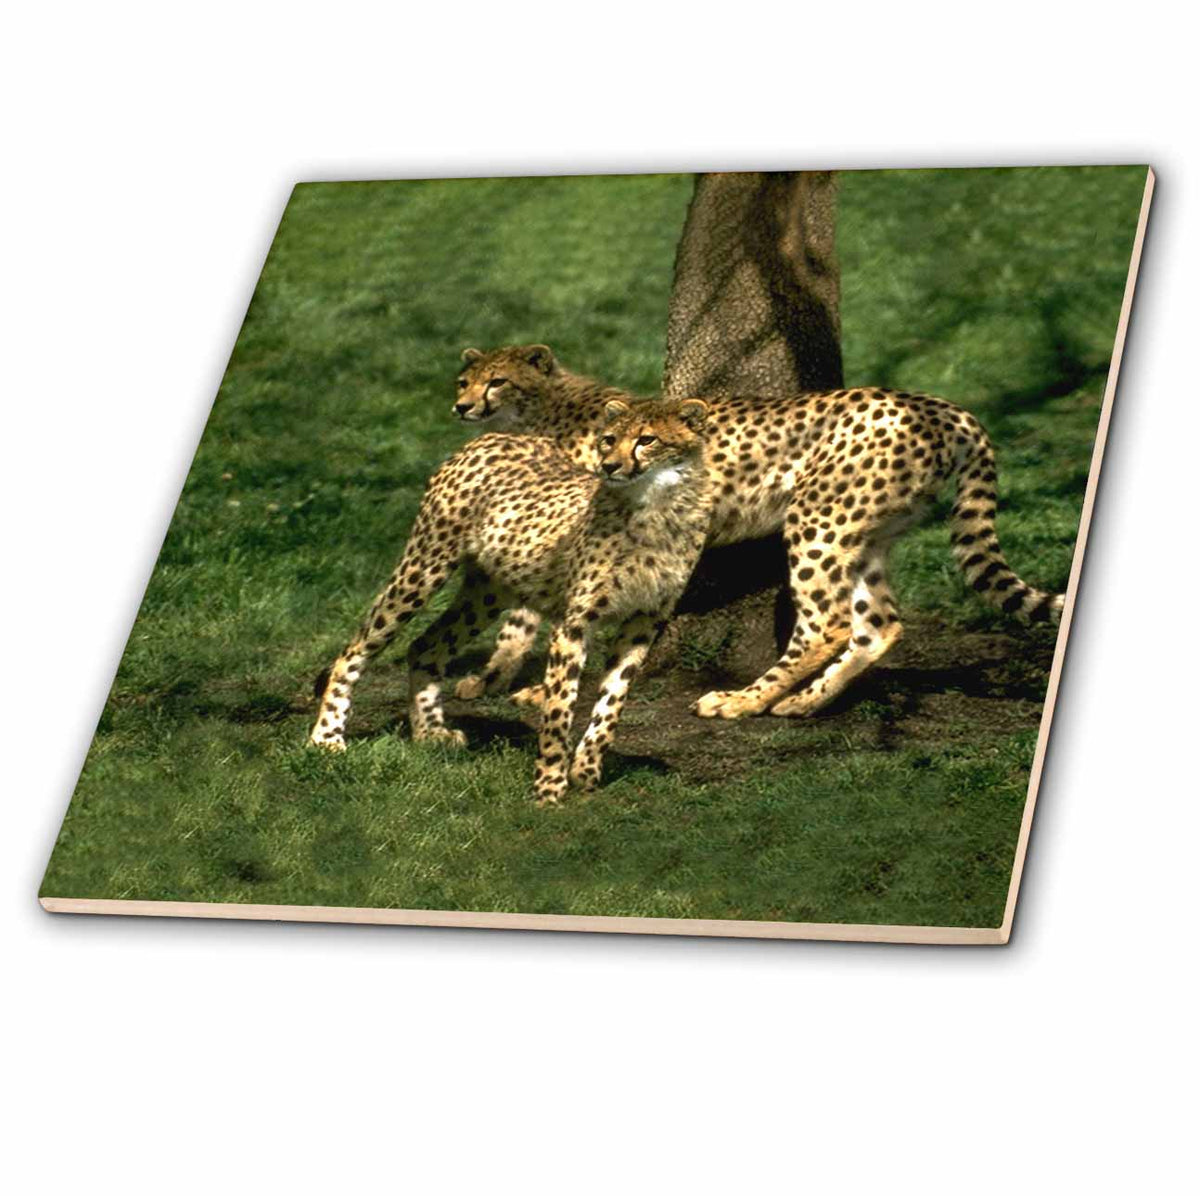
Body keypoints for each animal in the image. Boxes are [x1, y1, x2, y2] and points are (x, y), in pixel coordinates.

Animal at [310, 398, 715, 804]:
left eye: (647, 439)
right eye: (609, 439)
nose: (610, 465)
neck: (656, 506)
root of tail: (493, 437)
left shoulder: (643, 622)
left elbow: (611, 704)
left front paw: (586, 770)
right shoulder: (575, 622)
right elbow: (559, 709)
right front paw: (549, 787)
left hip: (489, 591)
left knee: (425, 645)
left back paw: (429, 732)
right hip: (424, 566)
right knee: (355, 649)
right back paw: (327, 736)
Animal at [451, 344, 1065, 721]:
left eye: (497, 381)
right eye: (464, 380)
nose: (460, 405)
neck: (542, 413)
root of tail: (940, 405)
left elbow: (547, 615)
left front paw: (532, 686)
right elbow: (525, 614)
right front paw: (489, 679)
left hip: (817, 519)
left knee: (826, 625)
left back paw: (740, 701)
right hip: (867, 532)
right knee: (879, 625)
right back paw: (804, 703)